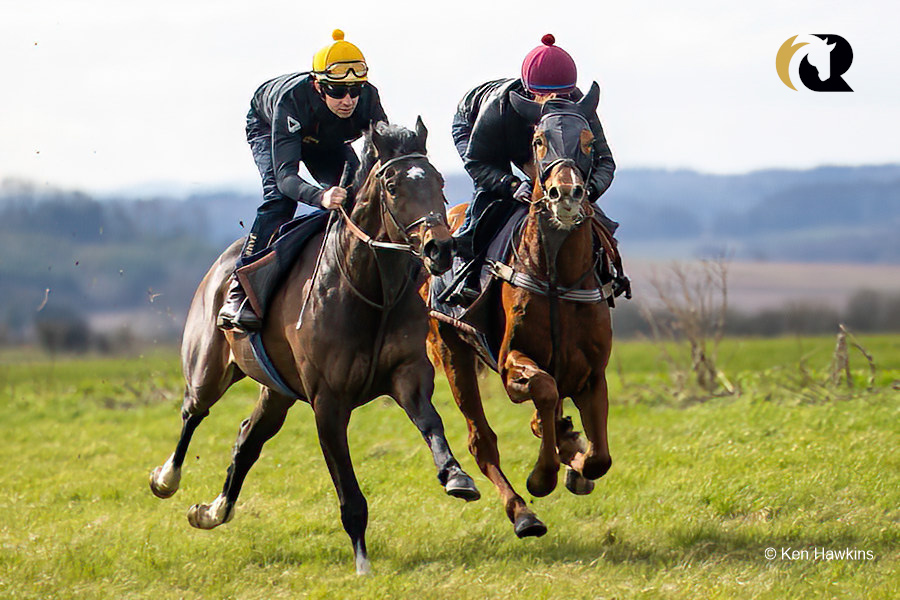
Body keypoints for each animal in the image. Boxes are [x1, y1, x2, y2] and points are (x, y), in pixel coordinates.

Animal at [149, 119, 482, 576]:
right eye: (393, 186)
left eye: (438, 181)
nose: (441, 248)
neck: (368, 289)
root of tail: (220, 265)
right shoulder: (328, 402)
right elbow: (349, 491)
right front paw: (363, 565)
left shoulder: (407, 374)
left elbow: (431, 422)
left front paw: (456, 476)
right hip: (207, 369)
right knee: (192, 413)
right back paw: (166, 479)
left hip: (277, 391)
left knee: (247, 439)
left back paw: (212, 511)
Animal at [428, 88, 612, 540]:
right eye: (538, 141)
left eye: (588, 141)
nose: (566, 195)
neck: (556, 274)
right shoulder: (511, 362)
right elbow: (543, 389)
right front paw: (542, 477)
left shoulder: (593, 372)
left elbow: (599, 458)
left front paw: (575, 461)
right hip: (452, 351)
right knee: (482, 441)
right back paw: (523, 513)